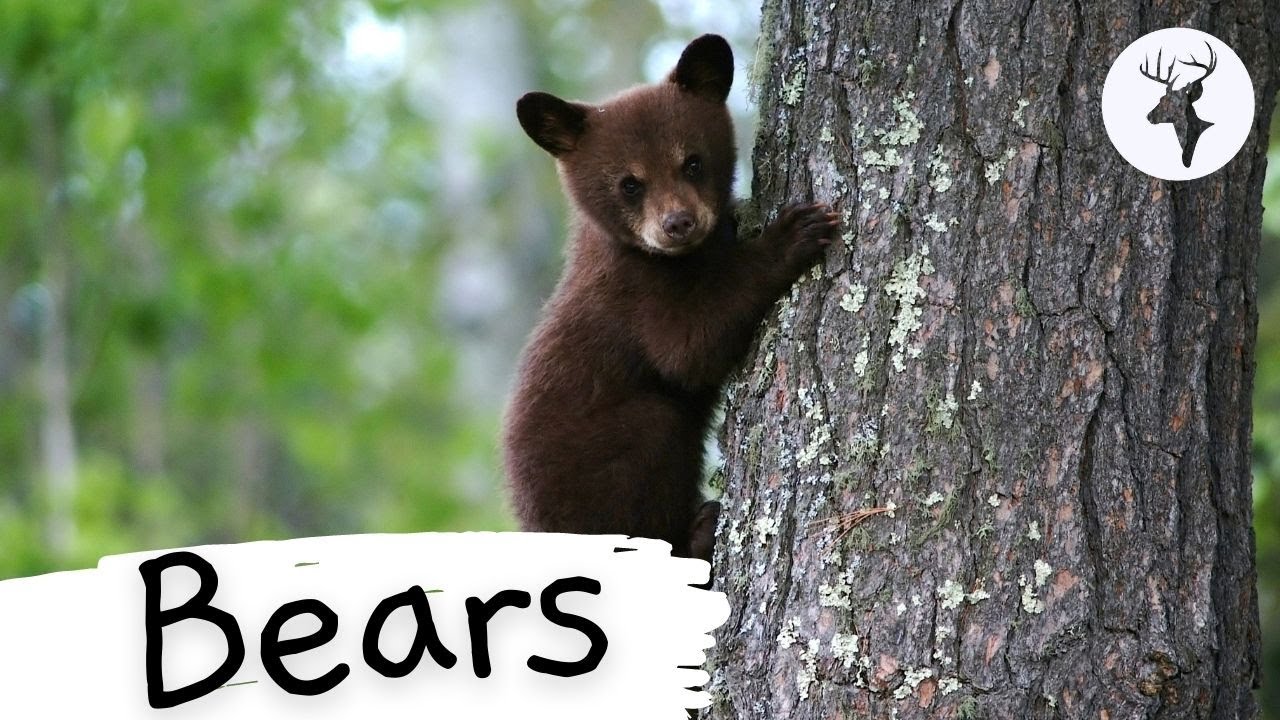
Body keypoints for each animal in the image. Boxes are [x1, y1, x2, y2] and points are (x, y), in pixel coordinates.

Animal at [503, 33, 839, 565]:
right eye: (629, 183)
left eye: (693, 162)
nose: (678, 222)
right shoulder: (634, 294)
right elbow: (686, 350)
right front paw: (792, 235)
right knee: (654, 433)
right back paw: (696, 538)